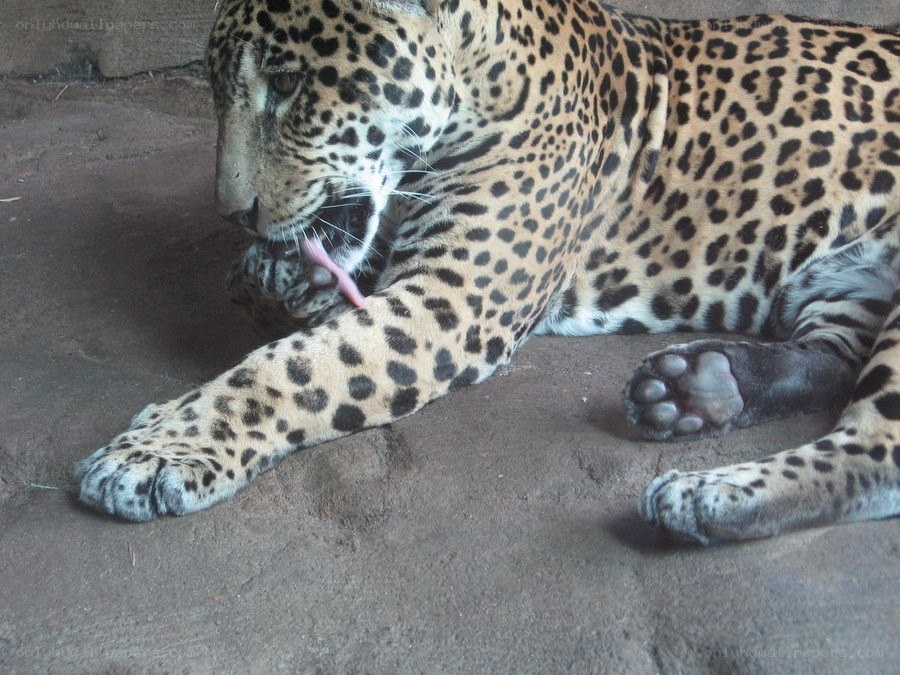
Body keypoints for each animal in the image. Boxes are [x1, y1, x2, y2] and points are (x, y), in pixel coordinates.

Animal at [74, 0, 900, 545]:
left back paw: (708, 494)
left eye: (287, 84)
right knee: (832, 358)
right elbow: (252, 285)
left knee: (877, 449)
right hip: (846, 283)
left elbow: (291, 369)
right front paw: (282, 281)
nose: (234, 211)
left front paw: (156, 453)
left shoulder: (452, 300)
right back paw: (698, 388)